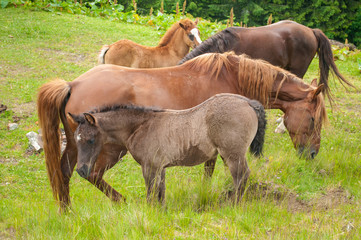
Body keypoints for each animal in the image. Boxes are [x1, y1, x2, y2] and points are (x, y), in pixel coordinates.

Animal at [67, 94, 266, 203]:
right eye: (76, 140)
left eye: (91, 140)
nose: (81, 170)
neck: (141, 126)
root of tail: (248, 102)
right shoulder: (160, 167)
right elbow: (160, 194)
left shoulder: (149, 167)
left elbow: (150, 194)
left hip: (233, 154)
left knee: (241, 176)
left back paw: (234, 204)